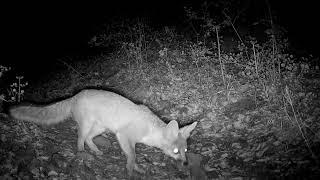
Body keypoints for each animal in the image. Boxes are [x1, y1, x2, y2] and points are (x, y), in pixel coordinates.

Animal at [9, 89, 198, 176]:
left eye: (185, 150)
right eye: (176, 151)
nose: (186, 163)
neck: (149, 129)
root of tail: (75, 95)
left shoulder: (127, 139)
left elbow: (133, 156)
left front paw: (137, 168)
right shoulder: (123, 136)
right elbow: (132, 156)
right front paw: (130, 170)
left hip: (100, 128)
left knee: (88, 139)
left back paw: (96, 151)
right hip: (87, 126)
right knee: (80, 138)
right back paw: (82, 153)